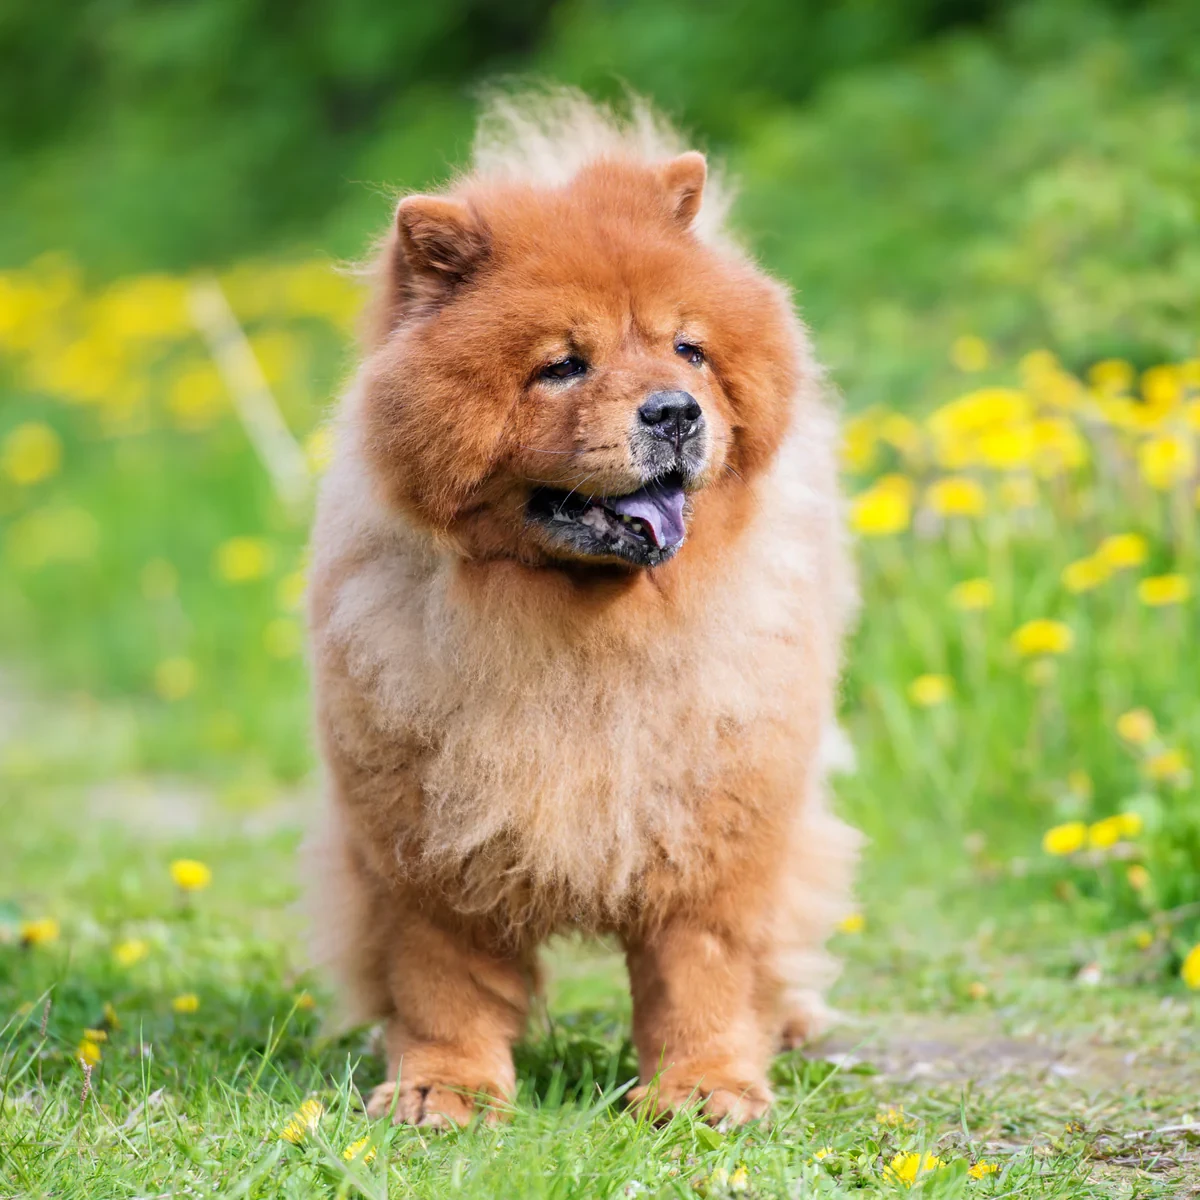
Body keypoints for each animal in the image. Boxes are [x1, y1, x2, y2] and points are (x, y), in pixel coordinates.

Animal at [304, 91, 859, 1123]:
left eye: (689, 349)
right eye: (563, 365)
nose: (674, 410)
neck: (580, 632)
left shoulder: (716, 822)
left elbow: (704, 969)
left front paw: (706, 1091)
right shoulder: (420, 832)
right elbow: (440, 976)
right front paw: (443, 1090)